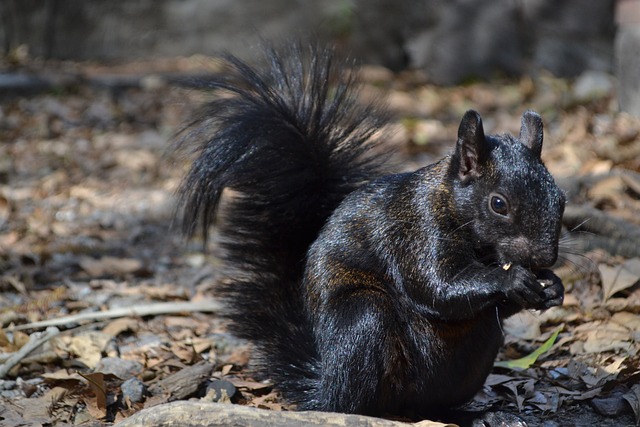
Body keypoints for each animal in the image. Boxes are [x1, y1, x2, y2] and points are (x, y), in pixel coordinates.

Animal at [174, 44, 564, 422]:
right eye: (498, 204)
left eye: (560, 198)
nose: (544, 257)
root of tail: (323, 381)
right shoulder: (415, 231)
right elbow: (436, 286)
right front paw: (513, 280)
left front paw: (552, 285)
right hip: (364, 320)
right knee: (350, 401)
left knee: (431, 404)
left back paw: (475, 413)